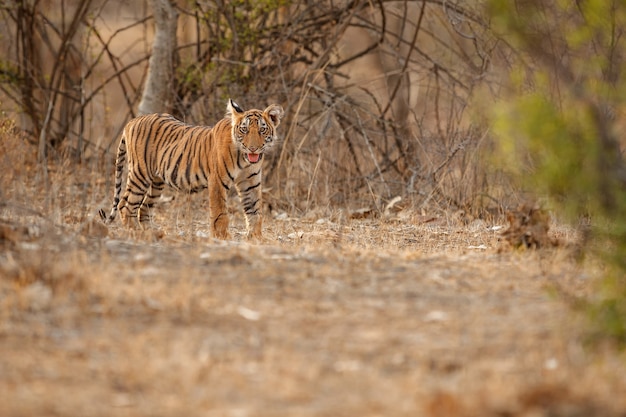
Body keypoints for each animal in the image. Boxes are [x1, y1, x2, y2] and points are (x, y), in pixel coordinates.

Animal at [98, 98, 284, 239]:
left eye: (262, 130)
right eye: (244, 129)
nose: (253, 148)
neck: (245, 159)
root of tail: (132, 121)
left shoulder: (250, 183)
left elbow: (255, 211)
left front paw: (256, 237)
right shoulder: (217, 181)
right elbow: (220, 212)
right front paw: (222, 236)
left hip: (156, 181)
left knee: (143, 208)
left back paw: (153, 233)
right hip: (140, 174)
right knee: (126, 205)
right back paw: (136, 233)